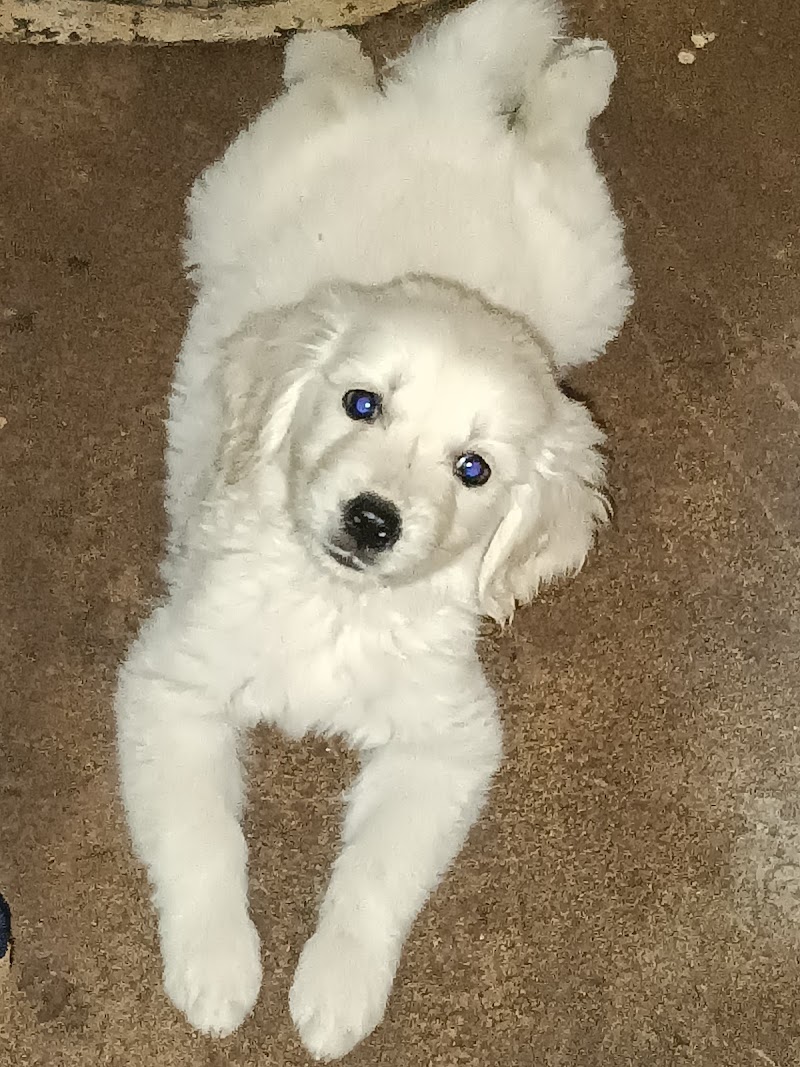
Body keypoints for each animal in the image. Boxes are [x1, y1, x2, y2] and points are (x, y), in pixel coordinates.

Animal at [115, 0, 632, 1058]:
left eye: (473, 469)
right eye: (361, 403)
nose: (372, 519)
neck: (336, 600)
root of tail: (446, 117)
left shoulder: (449, 740)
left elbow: (376, 878)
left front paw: (335, 991)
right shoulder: (171, 685)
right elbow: (201, 841)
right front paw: (217, 972)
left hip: (585, 271)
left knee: (546, 135)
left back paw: (578, 73)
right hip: (236, 191)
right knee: (337, 94)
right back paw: (325, 44)